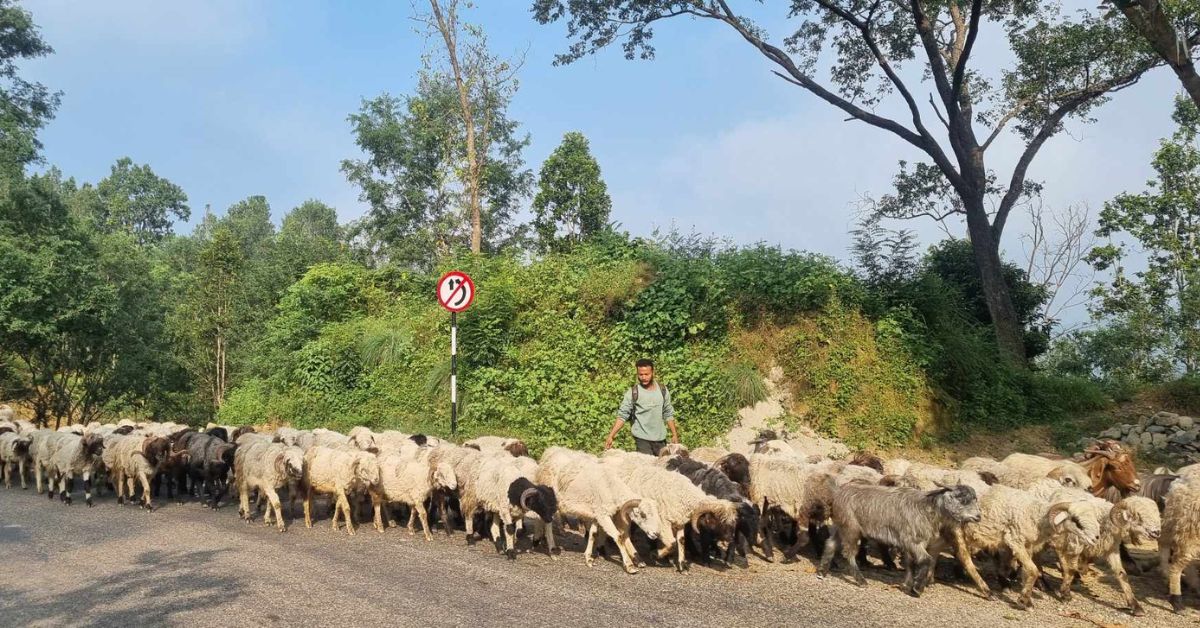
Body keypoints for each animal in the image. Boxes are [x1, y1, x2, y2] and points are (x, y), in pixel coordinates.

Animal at [604, 453, 734, 571]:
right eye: (715, 521)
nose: (730, 539)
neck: (686, 495)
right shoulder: (663, 522)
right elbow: (672, 543)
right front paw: (657, 555)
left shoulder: (680, 520)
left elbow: (681, 540)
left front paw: (682, 565)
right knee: (625, 533)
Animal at [820, 485, 979, 597]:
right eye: (962, 499)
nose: (978, 516)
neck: (927, 509)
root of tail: (836, 495)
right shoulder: (912, 541)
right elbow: (925, 560)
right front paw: (916, 588)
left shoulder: (909, 543)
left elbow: (910, 564)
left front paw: (907, 585)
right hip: (851, 527)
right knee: (848, 553)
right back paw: (861, 580)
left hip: (840, 526)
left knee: (830, 543)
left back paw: (822, 571)